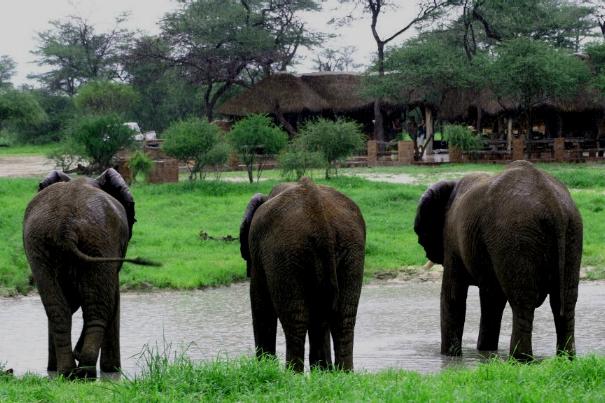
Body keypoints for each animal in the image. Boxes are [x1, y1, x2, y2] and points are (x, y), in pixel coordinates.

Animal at [23, 168, 158, 378]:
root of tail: (66, 227)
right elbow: (113, 296)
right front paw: (111, 370)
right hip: (99, 241)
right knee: (98, 307)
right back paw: (86, 371)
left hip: (42, 247)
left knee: (58, 310)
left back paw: (66, 372)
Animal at [239, 177, 364, 372]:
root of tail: (318, 214)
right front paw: (323, 372)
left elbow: (260, 304)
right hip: (351, 247)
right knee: (343, 319)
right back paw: (342, 373)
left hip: (284, 252)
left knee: (295, 321)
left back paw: (292, 374)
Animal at [416, 161, 580, 360]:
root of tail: (553, 205)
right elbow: (492, 299)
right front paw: (485, 352)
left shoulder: (452, 240)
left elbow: (453, 296)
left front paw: (450, 357)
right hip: (571, 233)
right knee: (565, 300)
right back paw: (566, 358)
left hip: (515, 236)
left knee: (522, 302)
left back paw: (521, 359)